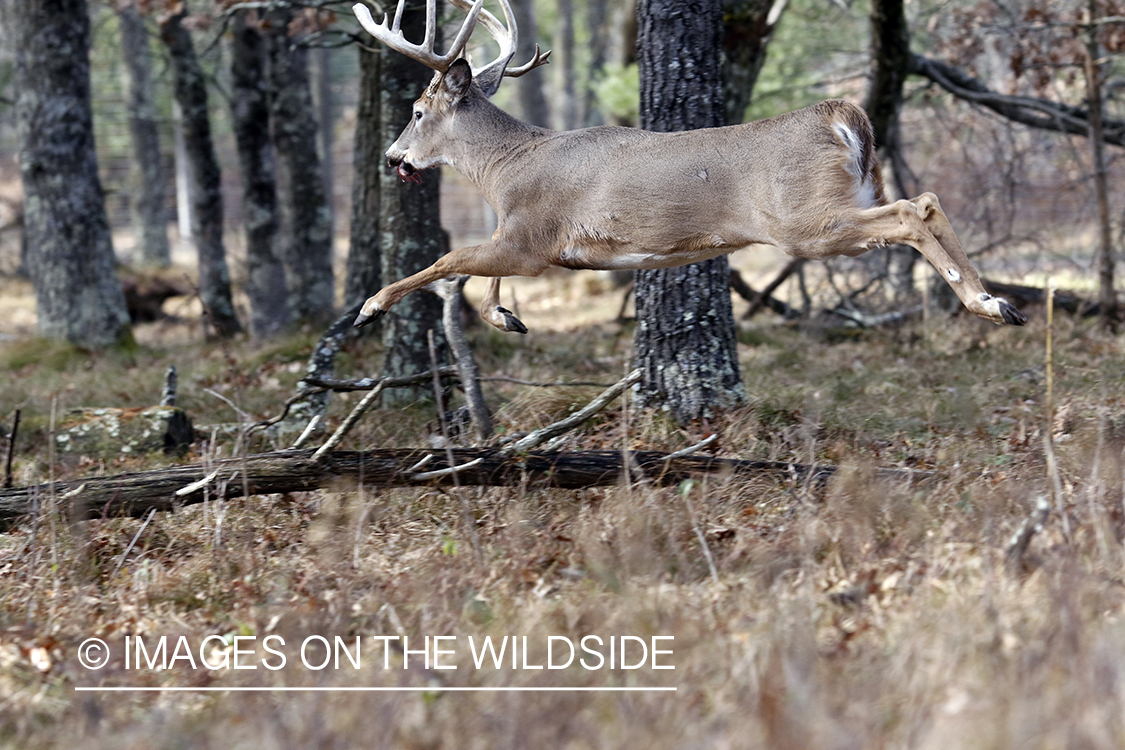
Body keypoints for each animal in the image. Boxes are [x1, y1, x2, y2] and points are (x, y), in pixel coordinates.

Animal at [353, 0, 1030, 330]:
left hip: (804, 220)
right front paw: (505, 316)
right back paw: (998, 302)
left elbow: (449, 259)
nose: (392, 157)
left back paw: (986, 302)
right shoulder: (529, 245)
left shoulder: (533, 238)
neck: (506, 168)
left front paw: (372, 305)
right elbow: (476, 270)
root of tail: (843, 115)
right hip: (855, 195)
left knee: (915, 210)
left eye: (416, 111)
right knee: (930, 201)